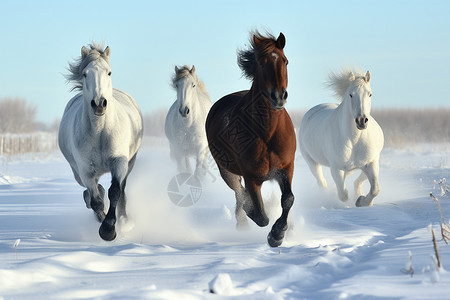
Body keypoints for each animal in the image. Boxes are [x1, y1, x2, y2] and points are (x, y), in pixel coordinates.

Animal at [58, 43, 142, 241]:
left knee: (121, 190)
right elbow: (96, 201)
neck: (100, 132)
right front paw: (104, 225)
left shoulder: (119, 163)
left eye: (109, 72)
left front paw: (109, 228)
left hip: (130, 162)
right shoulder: (85, 170)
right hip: (78, 173)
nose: (98, 104)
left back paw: (125, 221)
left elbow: (115, 192)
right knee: (91, 193)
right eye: (85, 73)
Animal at [204, 31, 296, 247]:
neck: (268, 133)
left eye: (286, 61)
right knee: (239, 192)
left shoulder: (286, 168)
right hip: (226, 171)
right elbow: (260, 215)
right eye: (262, 63)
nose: (278, 97)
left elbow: (288, 199)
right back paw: (242, 223)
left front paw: (278, 235)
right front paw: (273, 233)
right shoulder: (252, 176)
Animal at [298, 69, 384, 207]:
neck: (354, 140)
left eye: (370, 94)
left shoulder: (371, 163)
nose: (361, 121)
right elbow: (343, 194)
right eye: (350, 95)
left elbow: (375, 189)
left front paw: (361, 201)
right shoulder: (336, 168)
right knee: (322, 183)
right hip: (311, 162)